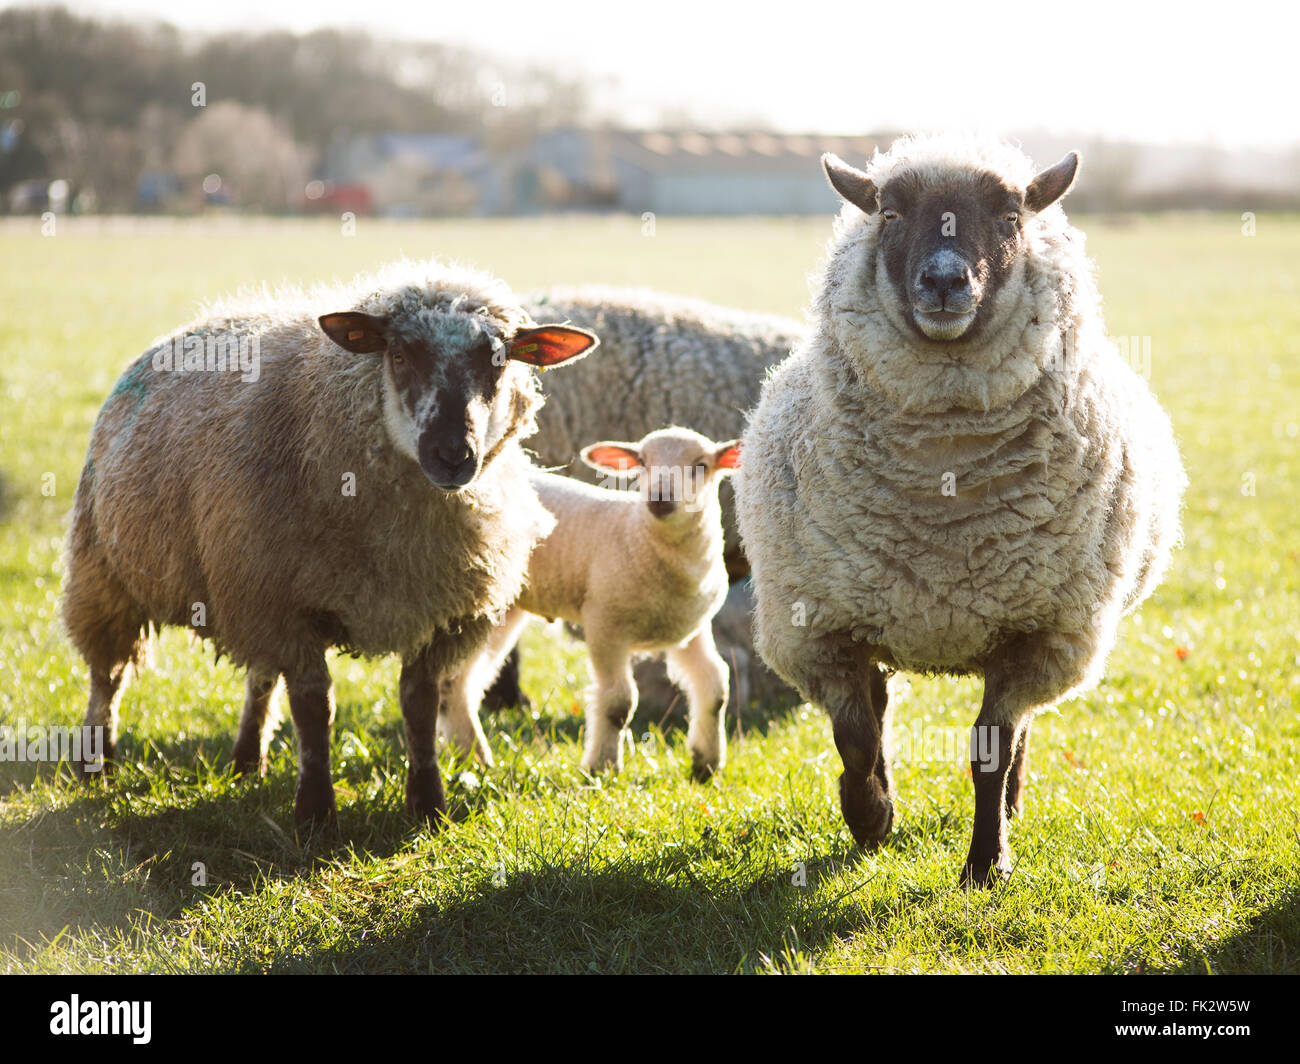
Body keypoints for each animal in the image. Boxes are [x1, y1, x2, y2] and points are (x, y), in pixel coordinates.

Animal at [62, 257, 597, 831]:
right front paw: (316, 813)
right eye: (399, 354)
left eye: (498, 360)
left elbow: (418, 706)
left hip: (244, 583)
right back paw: (98, 762)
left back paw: (247, 761)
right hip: (110, 570)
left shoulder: (435, 612)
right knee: (108, 674)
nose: (454, 454)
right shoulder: (289, 604)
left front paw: (427, 804)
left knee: (259, 676)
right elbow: (315, 707)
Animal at [438, 427, 741, 781]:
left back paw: (469, 756)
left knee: (461, 683)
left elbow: (715, 687)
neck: (637, 535)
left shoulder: (691, 629)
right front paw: (603, 767)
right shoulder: (605, 623)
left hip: (504, 610)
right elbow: (618, 703)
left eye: (700, 465)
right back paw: (474, 756)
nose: (660, 498)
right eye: (642, 463)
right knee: (451, 679)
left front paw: (706, 763)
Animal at [735, 135, 1186, 887]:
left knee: (1019, 733)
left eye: (1010, 214)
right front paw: (870, 819)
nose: (945, 282)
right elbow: (856, 739)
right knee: (879, 707)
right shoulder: (819, 628)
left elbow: (992, 748)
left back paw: (1014, 807)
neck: (943, 506)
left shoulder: (1039, 634)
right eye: (889, 212)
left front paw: (986, 862)